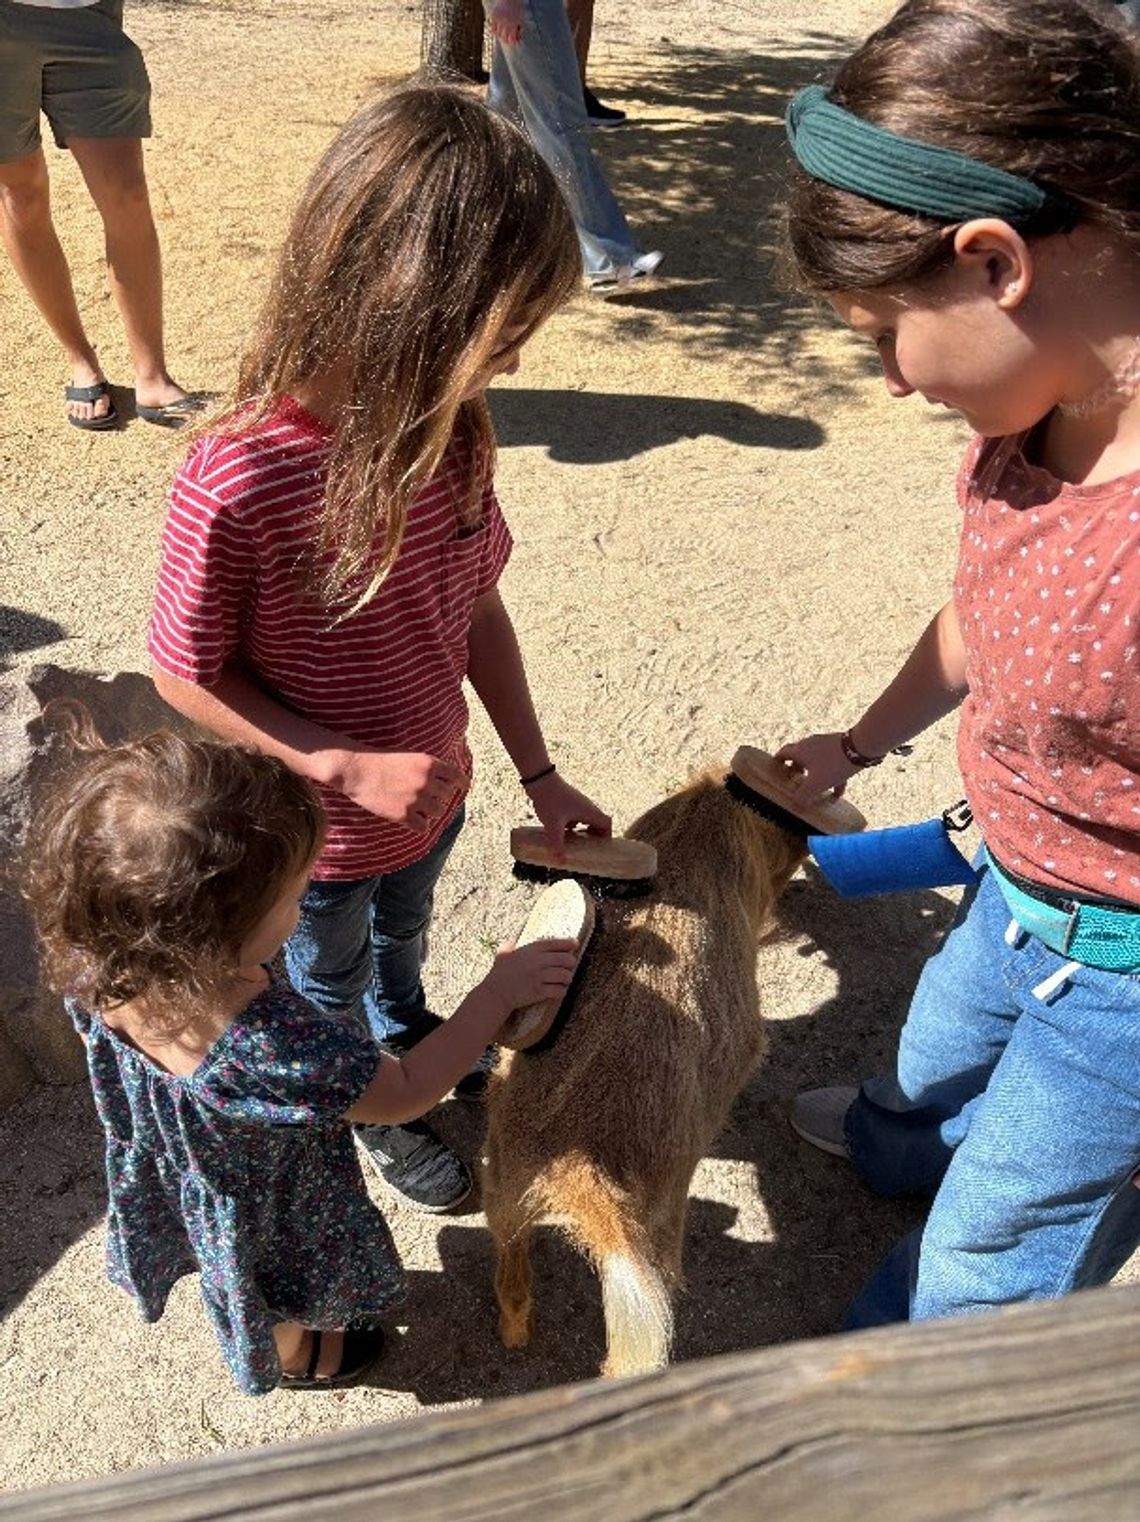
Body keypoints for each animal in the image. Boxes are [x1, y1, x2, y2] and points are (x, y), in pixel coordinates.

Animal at [482, 767, 807, 1378]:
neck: (704, 820)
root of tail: (577, 1171)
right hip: (655, 1235)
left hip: (502, 1192)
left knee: (509, 1274)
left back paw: (514, 1337)